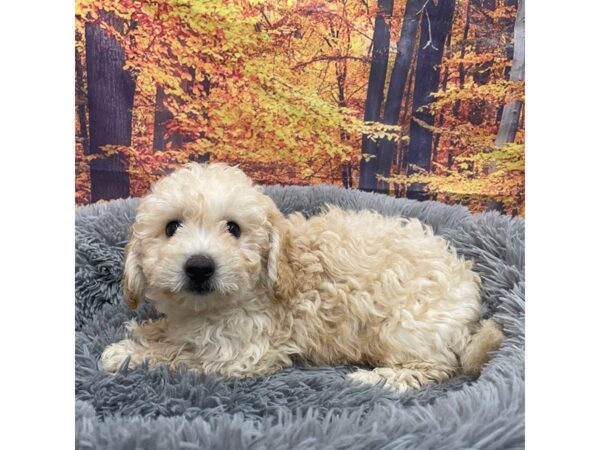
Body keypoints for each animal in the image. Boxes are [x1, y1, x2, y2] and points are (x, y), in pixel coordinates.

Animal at [101, 163, 504, 392]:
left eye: (233, 228)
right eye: (171, 228)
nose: (199, 266)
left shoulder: (239, 353)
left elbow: (178, 355)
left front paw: (128, 353)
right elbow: (173, 335)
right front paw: (149, 330)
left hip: (406, 326)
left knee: (435, 368)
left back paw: (377, 379)